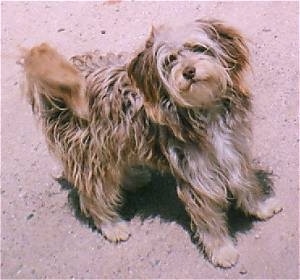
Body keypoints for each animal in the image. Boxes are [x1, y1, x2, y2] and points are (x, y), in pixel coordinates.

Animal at [20, 18, 282, 268]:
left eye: (199, 48)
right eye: (170, 60)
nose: (189, 71)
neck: (205, 110)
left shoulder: (233, 149)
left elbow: (246, 183)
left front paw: (261, 207)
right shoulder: (196, 174)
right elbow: (207, 216)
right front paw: (221, 250)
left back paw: (134, 179)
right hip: (90, 154)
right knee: (93, 195)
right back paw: (112, 226)